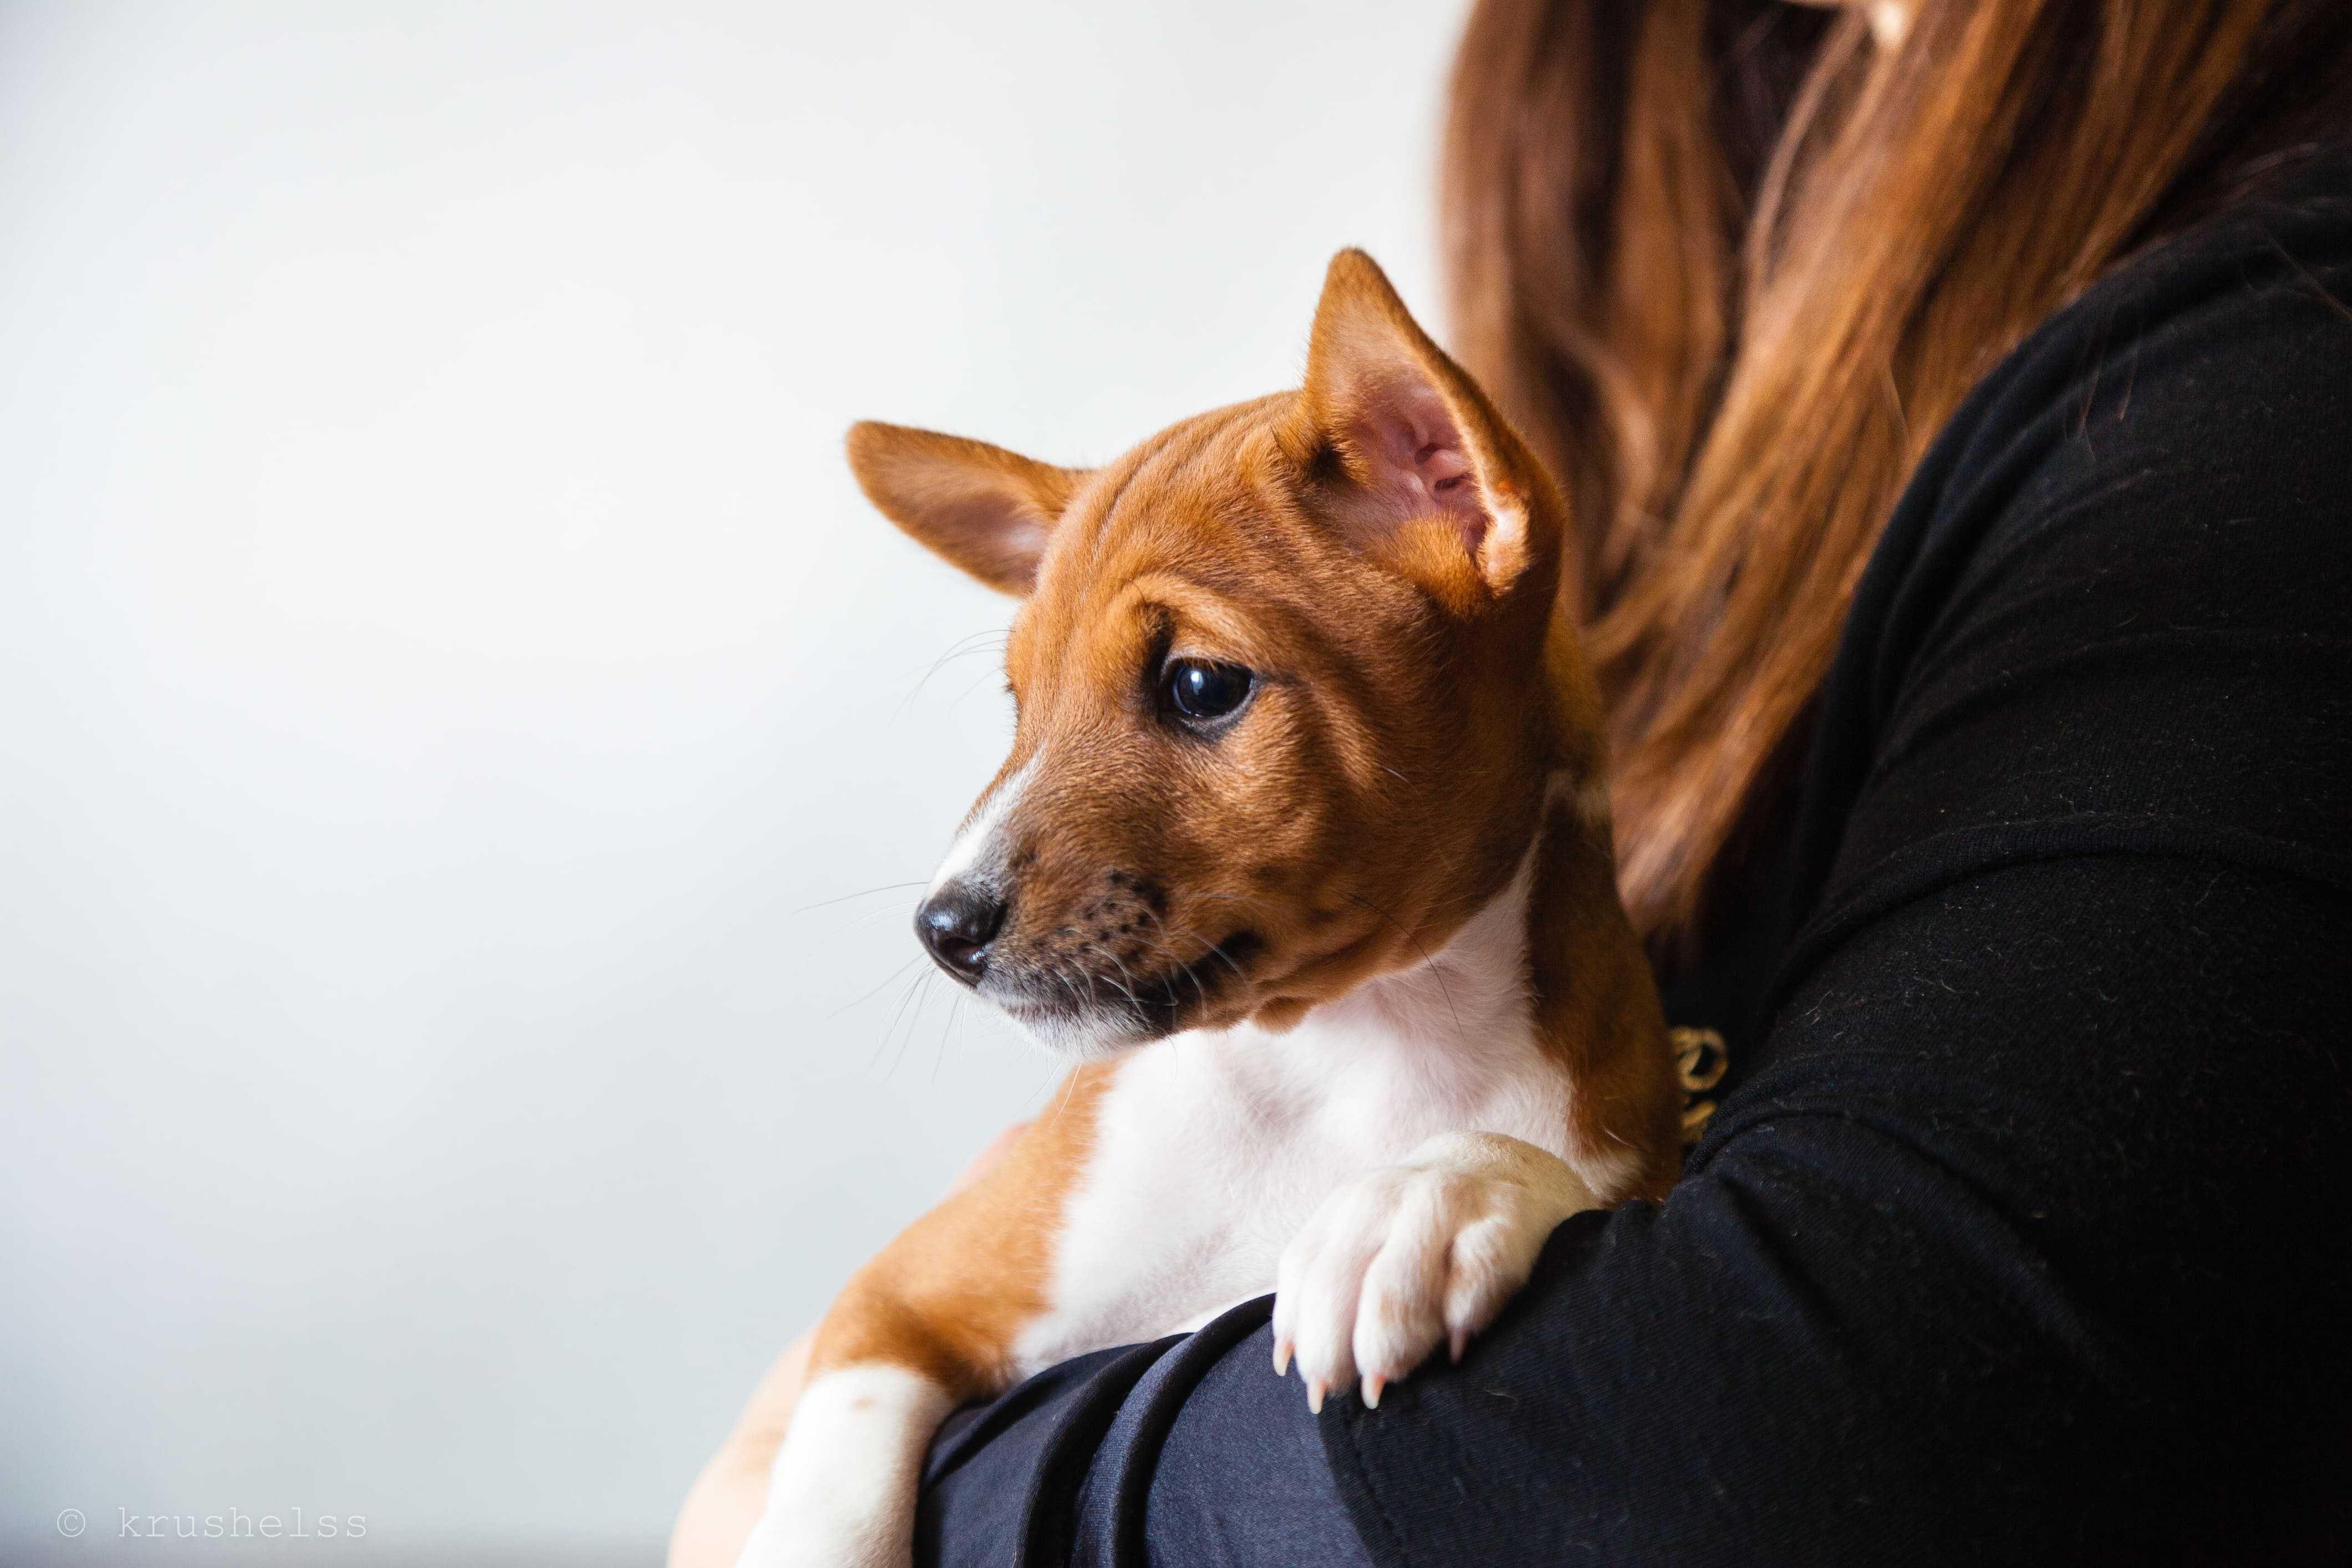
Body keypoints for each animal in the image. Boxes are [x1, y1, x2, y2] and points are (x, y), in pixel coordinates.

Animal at [743, 251, 1684, 1561]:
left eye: (1198, 684)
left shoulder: (1630, 1160)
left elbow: (1533, 1164)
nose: (944, 929)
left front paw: (1424, 1199)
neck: (1353, 1057)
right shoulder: (905, 1294)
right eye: (1019, 702)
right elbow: (831, 1491)